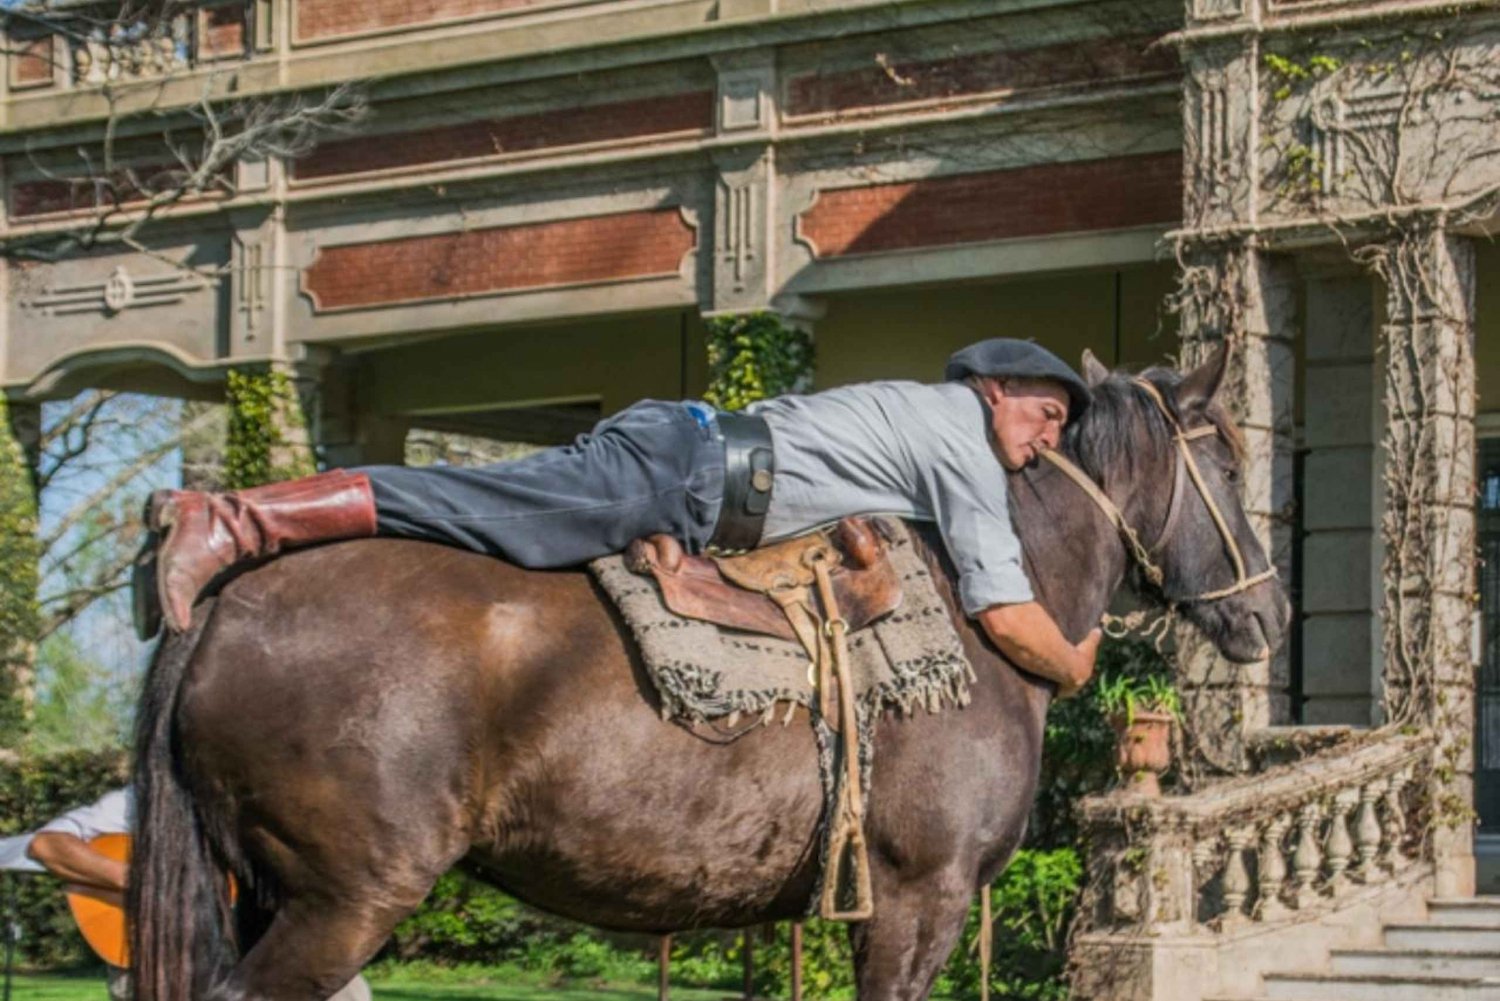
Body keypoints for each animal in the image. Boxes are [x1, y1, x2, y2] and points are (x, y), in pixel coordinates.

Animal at [129, 348, 1290, 996]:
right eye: (1229, 459)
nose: (1272, 610)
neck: (970, 619)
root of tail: (228, 601)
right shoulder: (920, 901)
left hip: (266, 893)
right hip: (344, 899)